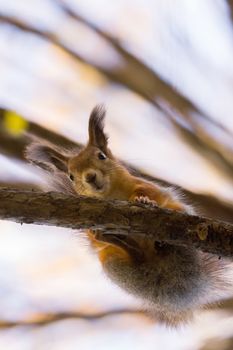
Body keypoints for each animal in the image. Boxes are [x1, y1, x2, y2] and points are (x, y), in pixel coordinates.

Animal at [24, 104, 233, 326]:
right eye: (71, 176)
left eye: (101, 156)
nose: (90, 177)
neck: (111, 193)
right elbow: (92, 235)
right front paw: (98, 232)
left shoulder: (147, 186)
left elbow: (151, 194)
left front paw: (144, 201)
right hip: (112, 263)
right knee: (135, 255)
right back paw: (121, 242)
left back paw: (161, 241)